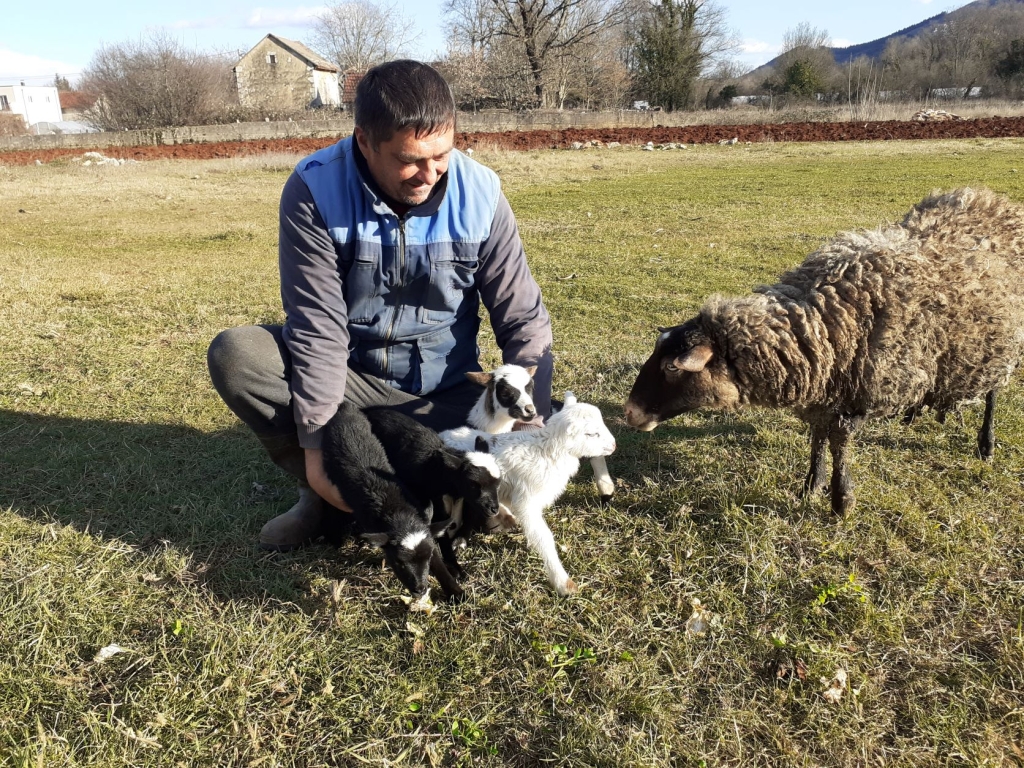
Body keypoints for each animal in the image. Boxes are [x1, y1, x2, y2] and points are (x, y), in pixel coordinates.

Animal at [440, 393, 614, 598]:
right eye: (591, 434)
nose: (614, 445)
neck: (548, 453)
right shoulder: (526, 501)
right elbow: (544, 537)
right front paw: (563, 583)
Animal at [622, 185, 1024, 518]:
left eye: (673, 368)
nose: (629, 412)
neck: (823, 319)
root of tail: (989, 198)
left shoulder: (858, 394)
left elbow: (839, 443)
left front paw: (841, 501)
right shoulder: (824, 391)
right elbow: (818, 437)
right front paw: (811, 486)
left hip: (1001, 343)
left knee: (993, 393)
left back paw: (986, 445)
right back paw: (914, 414)